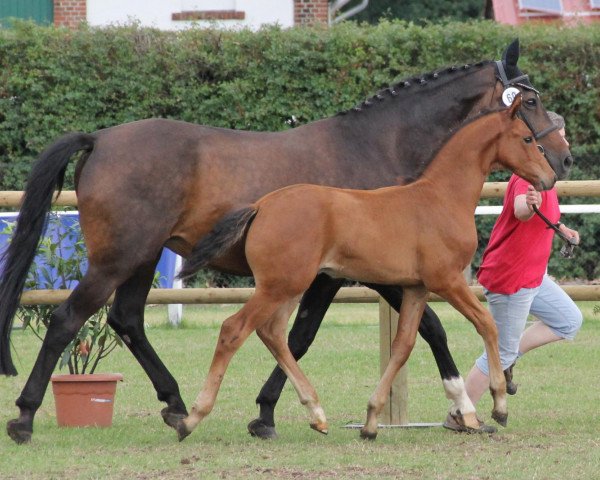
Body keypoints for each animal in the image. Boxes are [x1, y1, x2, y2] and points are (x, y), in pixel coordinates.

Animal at [176, 98, 560, 442]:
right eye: (528, 138)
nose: (551, 177)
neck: (440, 198)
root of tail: (261, 205)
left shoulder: (416, 288)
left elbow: (403, 345)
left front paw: (372, 421)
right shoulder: (447, 280)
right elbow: (487, 325)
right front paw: (498, 404)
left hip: (288, 287)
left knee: (272, 333)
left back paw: (316, 414)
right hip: (279, 286)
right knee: (234, 329)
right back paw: (191, 418)